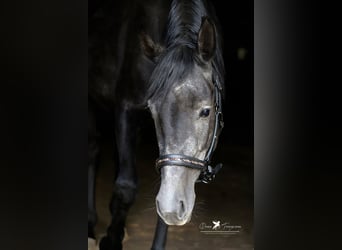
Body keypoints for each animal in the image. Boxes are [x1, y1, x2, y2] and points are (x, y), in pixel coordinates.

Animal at [88, 0, 226, 249]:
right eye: (152, 110)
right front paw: (111, 240)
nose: (172, 208)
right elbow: (126, 186)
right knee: (93, 150)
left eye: (206, 111)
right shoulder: (126, 108)